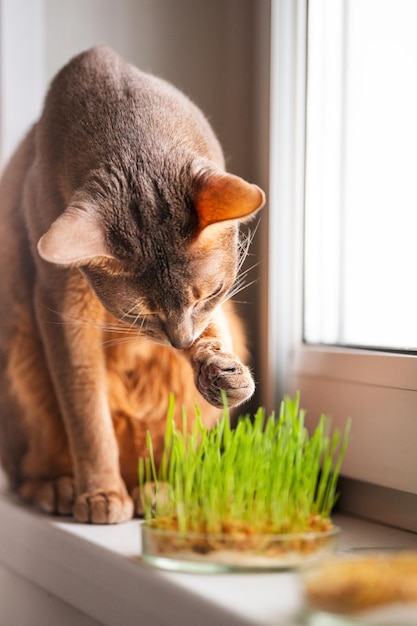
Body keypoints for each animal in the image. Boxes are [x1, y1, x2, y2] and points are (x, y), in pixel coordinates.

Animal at [0, 46, 264, 520]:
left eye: (210, 294)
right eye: (140, 313)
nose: (180, 342)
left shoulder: (215, 313)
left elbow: (214, 334)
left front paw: (223, 371)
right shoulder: (61, 303)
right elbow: (87, 414)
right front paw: (100, 493)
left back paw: (161, 490)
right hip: (17, 352)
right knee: (26, 471)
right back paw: (60, 488)